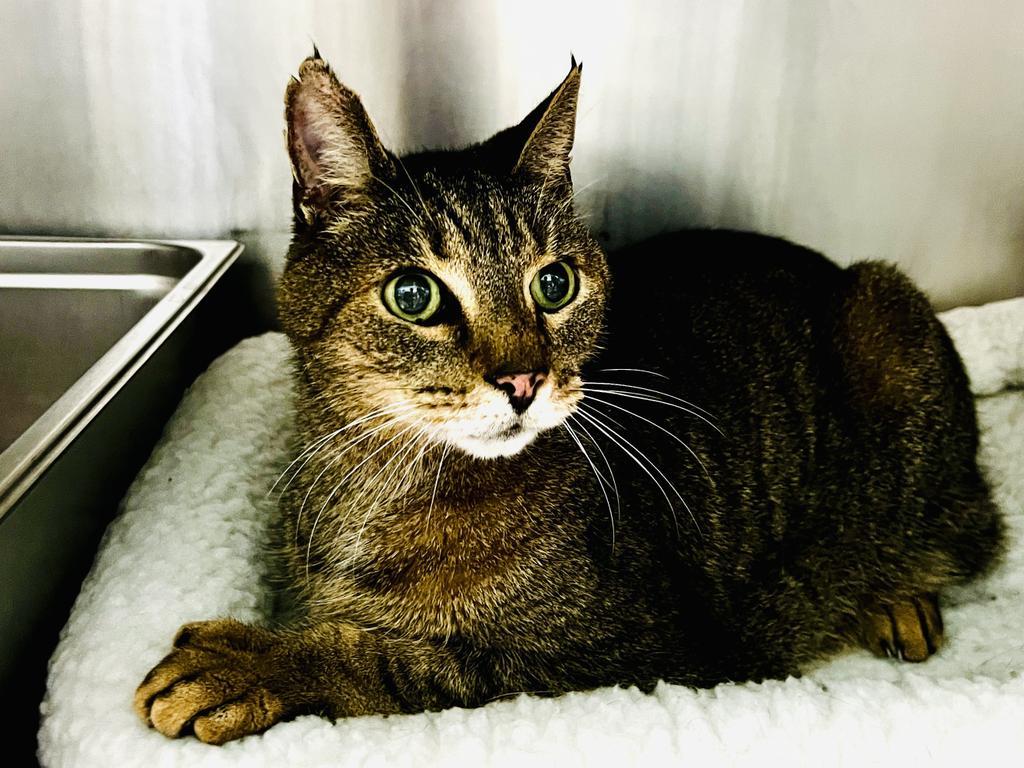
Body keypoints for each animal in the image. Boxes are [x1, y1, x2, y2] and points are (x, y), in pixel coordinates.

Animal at [134, 52, 999, 745]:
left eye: (555, 284)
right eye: (413, 295)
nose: (523, 381)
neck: (386, 482)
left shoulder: (645, 653)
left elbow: (407, 663)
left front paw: (250, 663)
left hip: (888, 312)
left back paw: (896, 597)